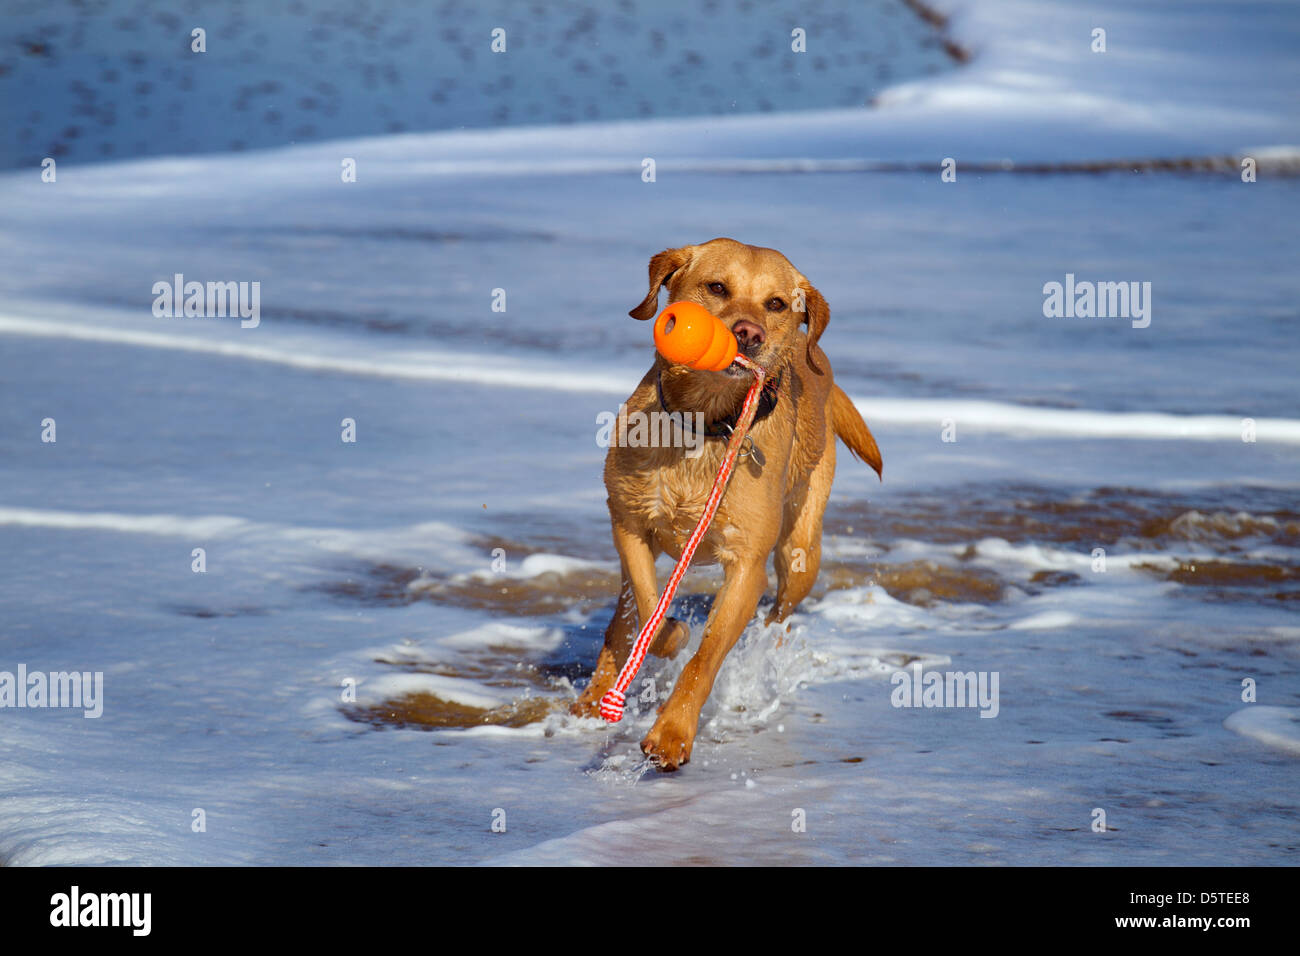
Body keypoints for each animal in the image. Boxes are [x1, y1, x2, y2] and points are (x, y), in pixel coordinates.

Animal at [572, 239, 883, 770]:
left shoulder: (747, 567)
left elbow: (706, 656)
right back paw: (594, 696)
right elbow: (650, 607)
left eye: (775, 303)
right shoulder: (629, 525)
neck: (706, 423)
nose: (748, 333)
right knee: (623, 617)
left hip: (801, 552)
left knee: (778, 617)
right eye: (717, 287)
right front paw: (670, 635)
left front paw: (672, 733)